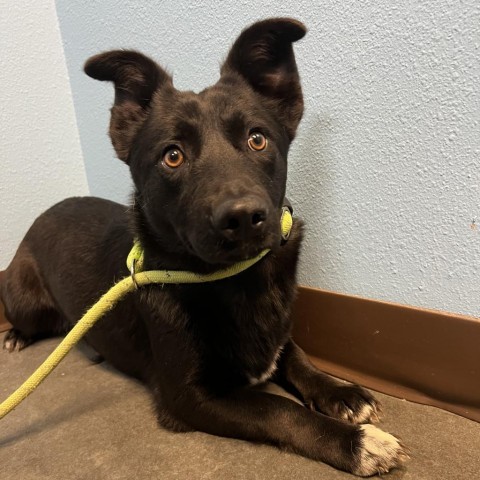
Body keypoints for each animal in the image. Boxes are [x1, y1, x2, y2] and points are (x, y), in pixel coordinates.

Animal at [0, 16, 408, 474]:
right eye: (172, 155)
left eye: (257, 139)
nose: (243, 218)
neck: (237, 281)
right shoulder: (191, 397)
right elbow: (279, 409)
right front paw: (357, 443)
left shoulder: (276, 337)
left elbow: (298, 357)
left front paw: (342, 393)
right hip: (25, 300)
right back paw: (15, 336)